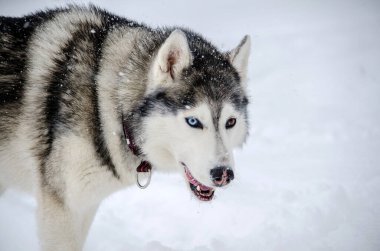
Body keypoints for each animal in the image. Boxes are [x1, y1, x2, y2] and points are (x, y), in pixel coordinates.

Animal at [0, 4, 251, 250]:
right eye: (193, 121)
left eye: (230, 122)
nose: (224, 174)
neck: (108, 107)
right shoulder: (62, 210)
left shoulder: (85, 206)